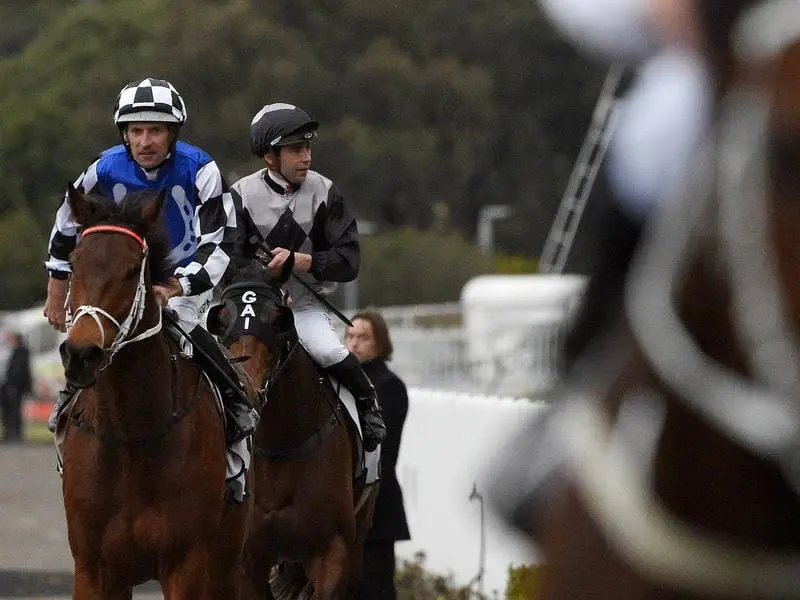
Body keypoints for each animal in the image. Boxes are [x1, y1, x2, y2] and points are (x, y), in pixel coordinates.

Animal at [58, 185, 250, 596]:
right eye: (76, 263)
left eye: (133, 270)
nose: (81, 354)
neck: (132, 436)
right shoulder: (93, 567)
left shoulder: (187, 563)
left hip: (227, 562)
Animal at [209, 264, 378, 600]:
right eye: (221, 318)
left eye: (279, 318)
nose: (247, 383)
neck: (282, 445)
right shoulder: (249, 561)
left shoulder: (333, 550)